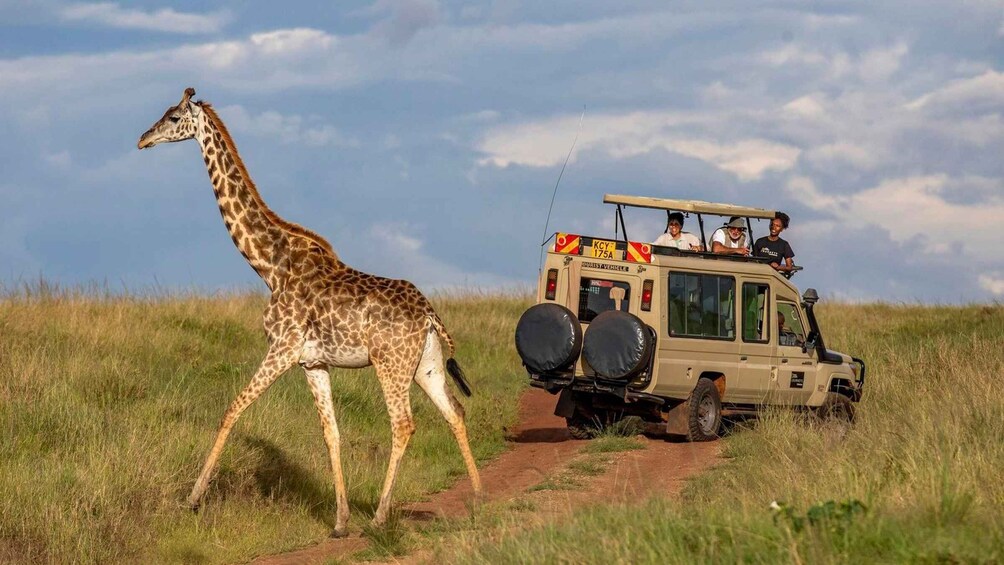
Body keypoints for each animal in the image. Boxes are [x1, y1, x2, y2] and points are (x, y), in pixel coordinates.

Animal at [137, 88, 482, 536]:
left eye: (174, 117)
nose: (143, 139)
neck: (269, 265)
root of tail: (428, 314)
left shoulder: (282, 348)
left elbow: (232, 409)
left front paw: (194, 499)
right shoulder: (313, 362)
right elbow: (330, 432)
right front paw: (339, 521)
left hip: (390, 363)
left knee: (404, 423)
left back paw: (381, 516)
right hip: (425, 364)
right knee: (454, 412)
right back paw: (479, 497)